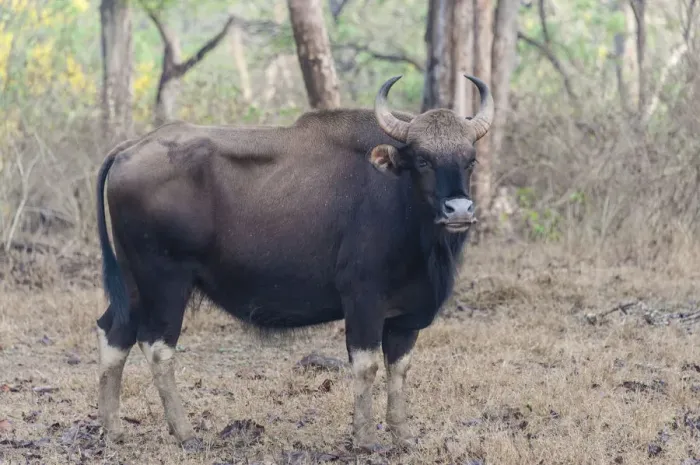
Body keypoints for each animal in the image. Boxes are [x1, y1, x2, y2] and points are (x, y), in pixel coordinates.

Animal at [94, 75, 494, 452]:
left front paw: (403, 436)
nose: (459, 210)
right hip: (165, 282)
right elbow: (366, 366)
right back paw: (184, 432)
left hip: (133, 282)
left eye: (469, 160)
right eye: (423, 159)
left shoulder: (404, 316)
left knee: (115, 331)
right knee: (157, 347)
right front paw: (365, 438)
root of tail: (131, 148)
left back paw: (112, 428)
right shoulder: (363, 300)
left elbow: (398, 369)